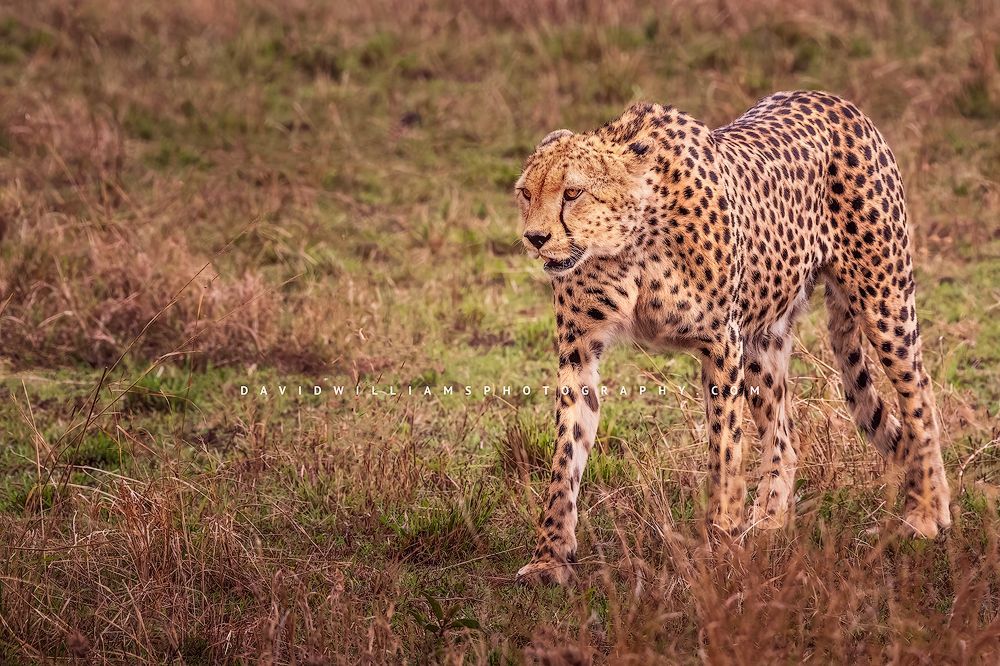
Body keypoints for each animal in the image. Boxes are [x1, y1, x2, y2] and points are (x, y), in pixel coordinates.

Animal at [512, 90, 951, 586]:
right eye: (526, 193)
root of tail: (831, 98)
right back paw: (768, 525)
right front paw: (550, 556)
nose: (535, 237)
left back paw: (926, 513)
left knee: (919, 393)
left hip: (884, 301)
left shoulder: (721, 343)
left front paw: (720, 546)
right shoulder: (579, 350)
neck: (627, 244)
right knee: (785, 438)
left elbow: (725, 451)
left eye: (573, 193)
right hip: (762, 342)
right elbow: (565, 455)